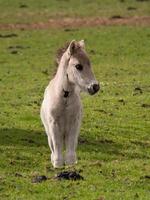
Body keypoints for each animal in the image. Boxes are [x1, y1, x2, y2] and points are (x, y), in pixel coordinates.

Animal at [40, 39, 100, 168]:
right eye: (78, 66)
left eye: (90, 64)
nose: (95, 87)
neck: (64, 97)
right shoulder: (54, 124)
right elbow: (57, 145)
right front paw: (57, 164)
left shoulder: (74, 123)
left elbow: (71, 144)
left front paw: (70, 163)